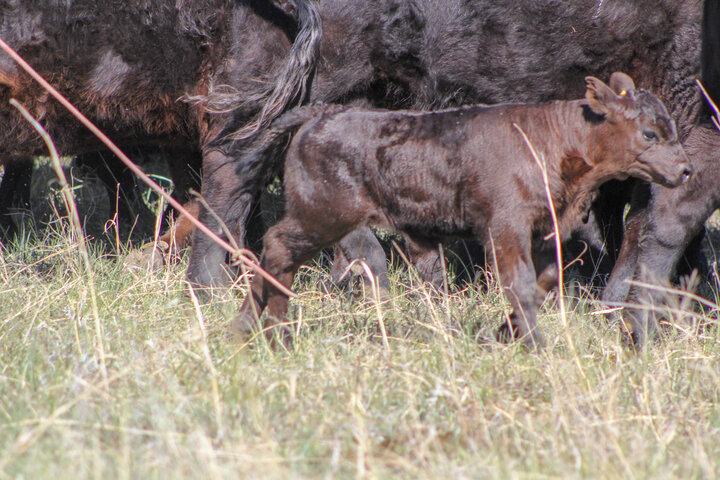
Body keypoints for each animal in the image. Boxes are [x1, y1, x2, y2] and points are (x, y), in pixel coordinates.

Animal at [238, 72, 692, 348]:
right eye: (649, 133)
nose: (685, 169)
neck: (557, 137)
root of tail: (325, 113)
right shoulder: (505, 228)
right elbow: (520, 282)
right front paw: (535, 344)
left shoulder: (546, 232)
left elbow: (543, 281)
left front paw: (505, 332)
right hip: (323, 215)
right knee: (279, 248)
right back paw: (277, 335)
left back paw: (244, 329)